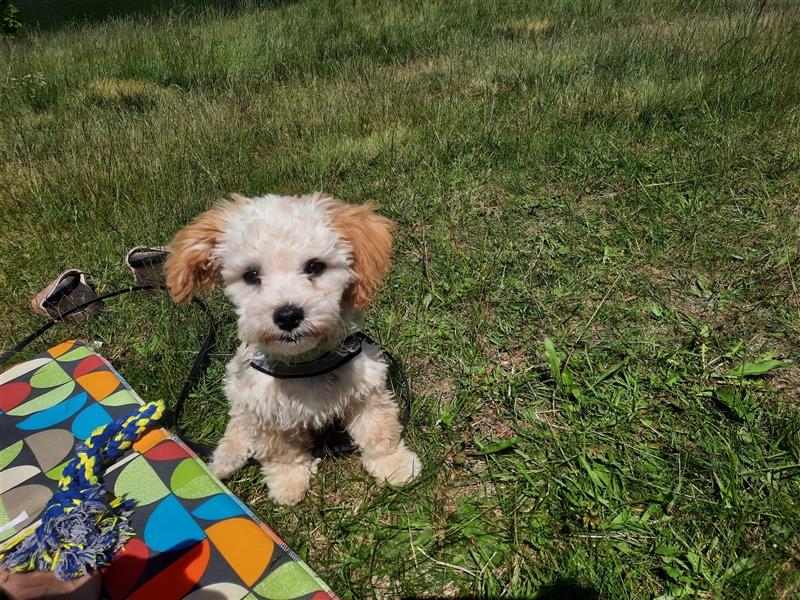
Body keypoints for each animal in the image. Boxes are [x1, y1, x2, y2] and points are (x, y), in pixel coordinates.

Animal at [166, 193, 422, 506]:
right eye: (251, 275)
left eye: (315, 266)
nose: (288, 315)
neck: (305, 364)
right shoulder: (265, 408)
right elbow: (281, 453)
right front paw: (288, 483)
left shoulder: (367, 388)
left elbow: (379, 431)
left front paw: (394, 465)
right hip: (237, 382)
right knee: (239, 420)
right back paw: (226, 457)